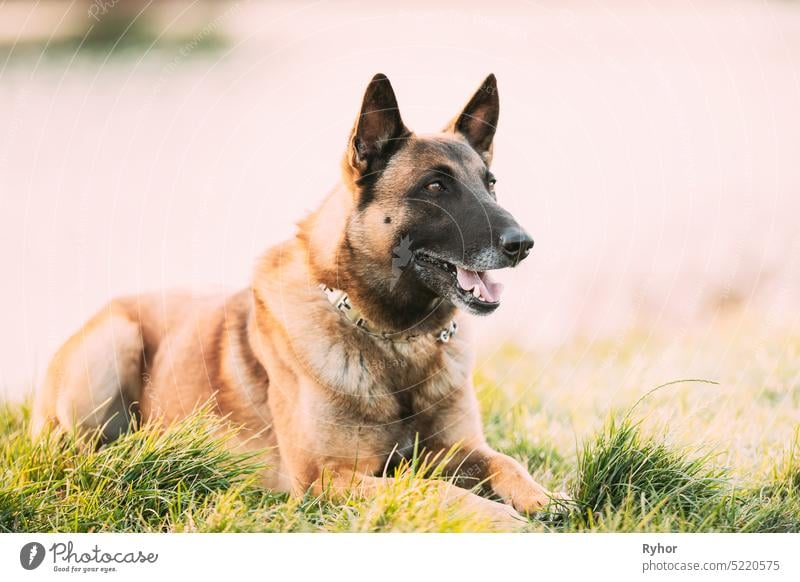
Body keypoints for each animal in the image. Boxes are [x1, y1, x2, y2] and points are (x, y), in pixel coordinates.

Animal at [29, 74, 556, 528]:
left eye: (490, 183)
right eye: (435, 186)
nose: (524, 244)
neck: (394, 340)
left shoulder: (460, 449)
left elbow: (508, 463)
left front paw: (546, 499)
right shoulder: (328, 478)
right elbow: (434, 490)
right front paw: (501, 518)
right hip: (111, 348)